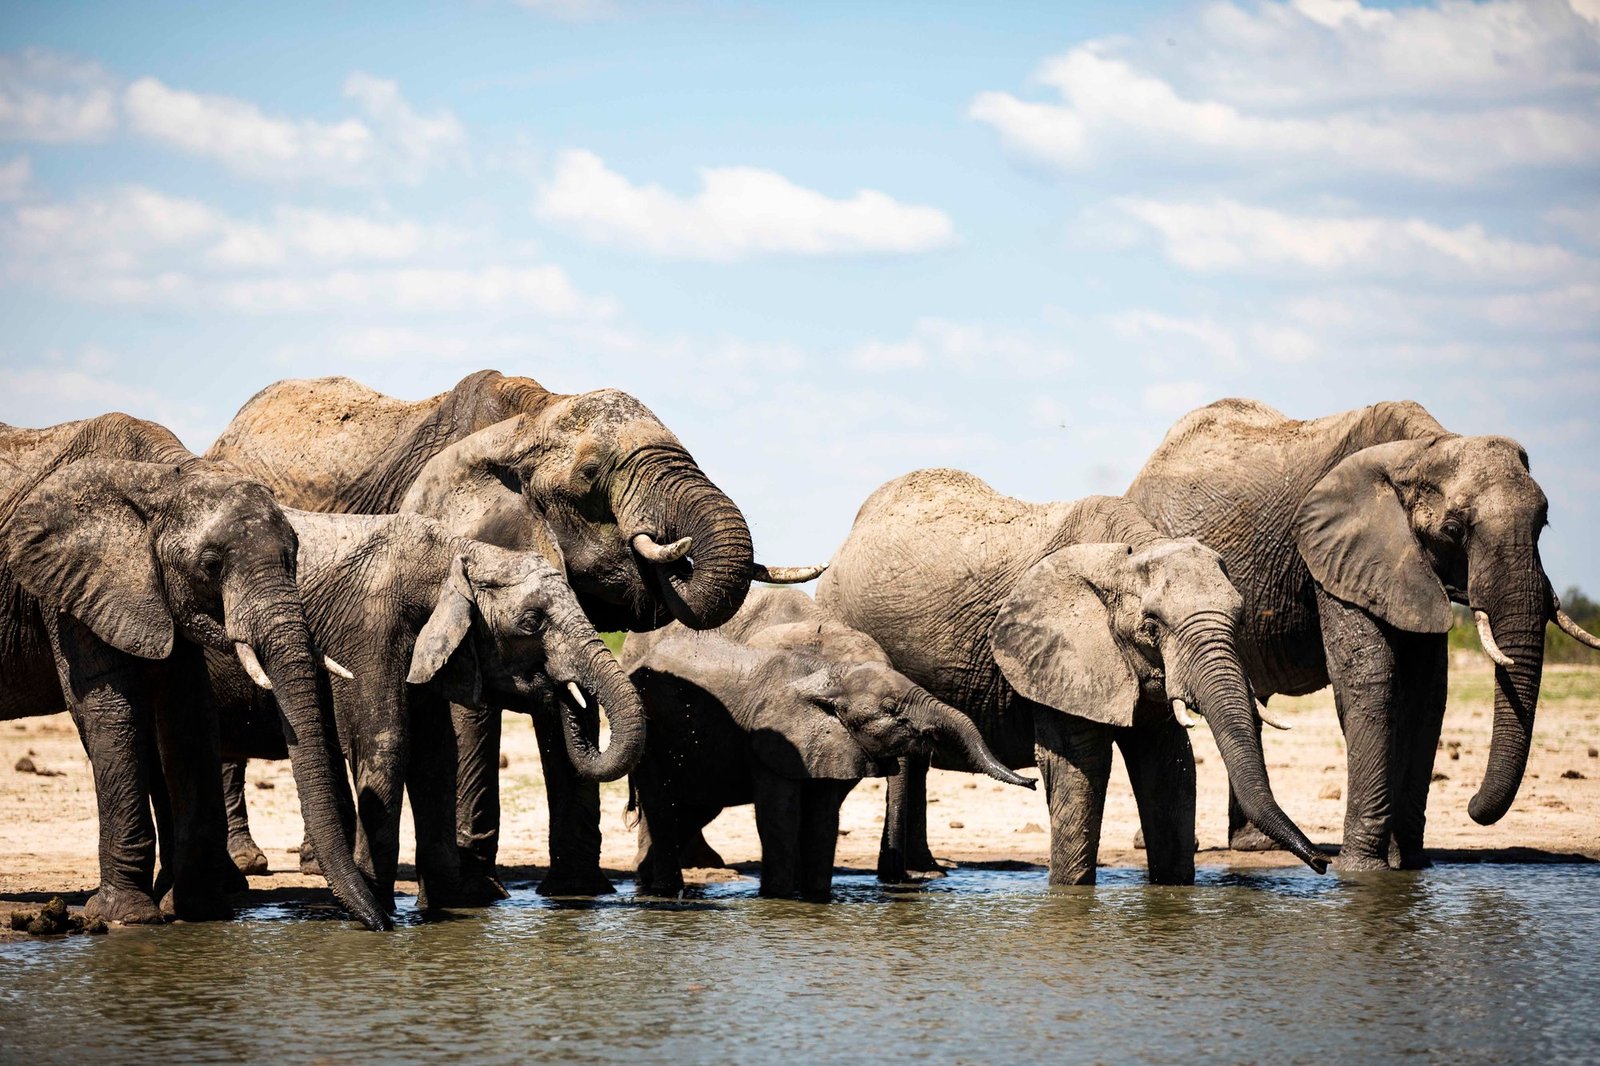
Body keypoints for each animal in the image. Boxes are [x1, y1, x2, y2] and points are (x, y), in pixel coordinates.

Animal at [0, 414, 388, 930]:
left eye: (295, 556)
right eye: (211, 565)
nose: (383, 924)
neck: (163, 477)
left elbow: (187, 712)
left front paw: (199, 911)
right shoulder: (70, 585)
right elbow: (110, 711)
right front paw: (127, 916)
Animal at [215, 509, 642, 912]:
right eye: (531, 623)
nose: (564, 688)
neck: (459, 556)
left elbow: (436, 757)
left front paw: (446, 906)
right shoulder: (368, 631)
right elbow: (386, 744)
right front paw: (378, 908)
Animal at [620, 587, 1032, 899]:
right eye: (889, 709)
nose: (1031, 781)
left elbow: (822, 815)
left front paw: (814, 896)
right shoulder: (776, 741)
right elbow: (782, 815)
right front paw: (781, 898)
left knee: (693, 804)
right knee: (664, 801)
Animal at [818, 469, 1327, 886]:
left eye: (1240, 618)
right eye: (1152, 626)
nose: (1323, 863)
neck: (1129, 551)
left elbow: (1168, 763)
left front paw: (1172, 895)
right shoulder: (1057, 656)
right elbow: (1080, 766)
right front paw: (1071, 896)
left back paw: (927, 872)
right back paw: (905, 878)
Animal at [1126, 399, 1600, 871]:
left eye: (1543, 523)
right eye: (1453, 530)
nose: (1471, 806)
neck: (1424, 448)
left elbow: (1427, 694)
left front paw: (1411, 865)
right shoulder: (1337, 555)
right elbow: (1371, 682)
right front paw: (1363, 870)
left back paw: (1254, 845)